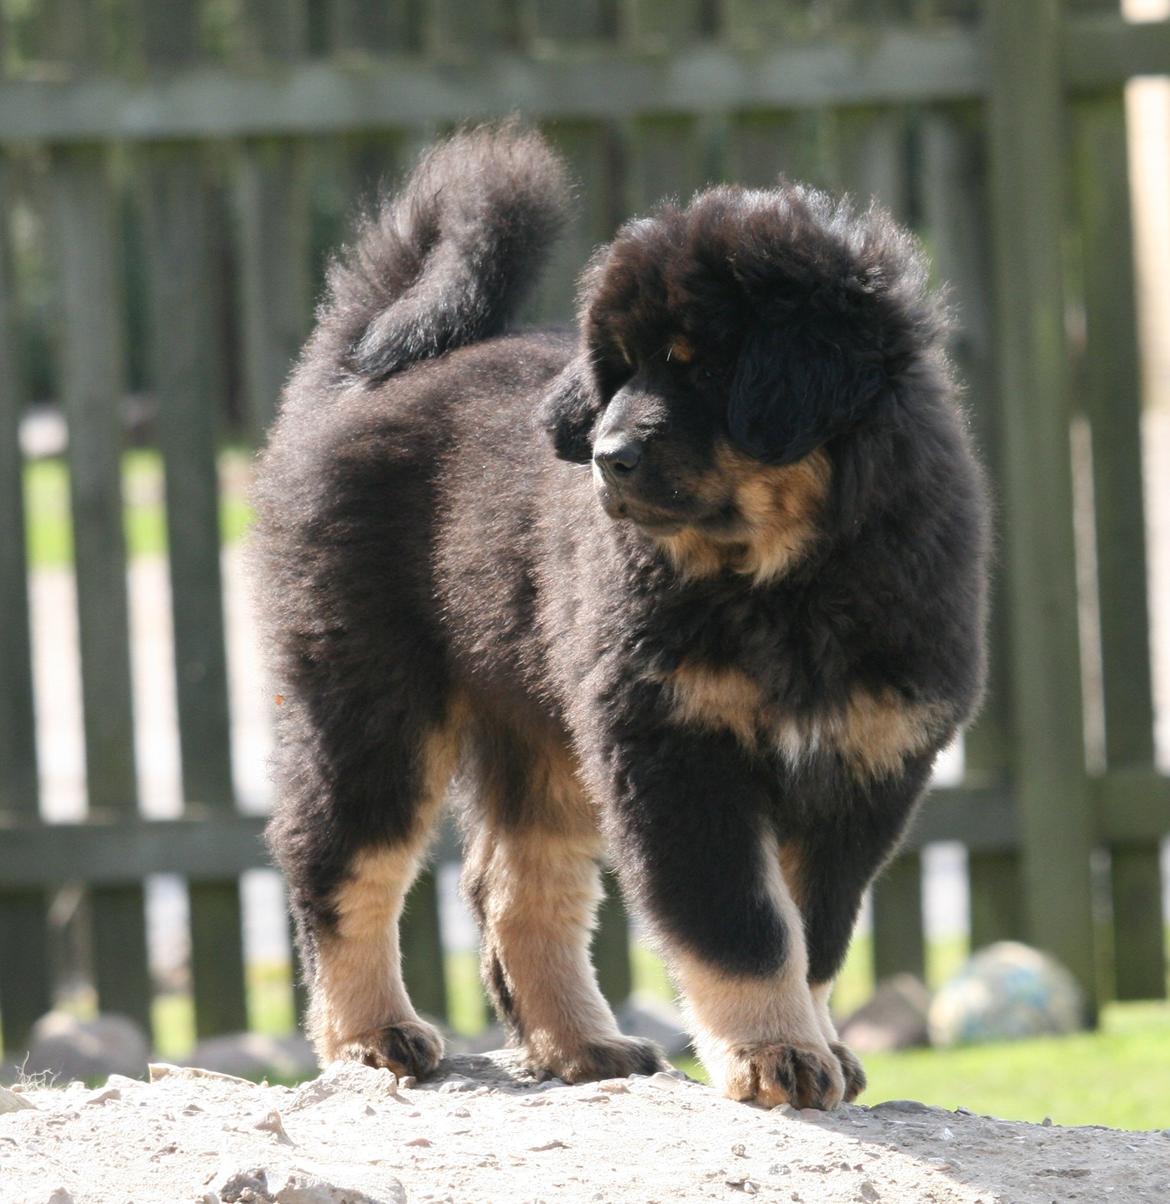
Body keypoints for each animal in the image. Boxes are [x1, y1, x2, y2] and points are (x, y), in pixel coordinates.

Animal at [256, 124, 987, 1107]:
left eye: (706, 366)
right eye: (620, 370)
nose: (606, 456)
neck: (783, 585)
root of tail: (359, 373)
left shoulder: (864, 767)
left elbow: (818, 934)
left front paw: (820, 1046)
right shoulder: (674, 750)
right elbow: (744, 928)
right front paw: (773, 1055)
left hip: (545, 725)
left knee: (515, 890)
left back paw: (581, 1046)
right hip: (370, 698)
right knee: (339, 861)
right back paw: (372, 1035)